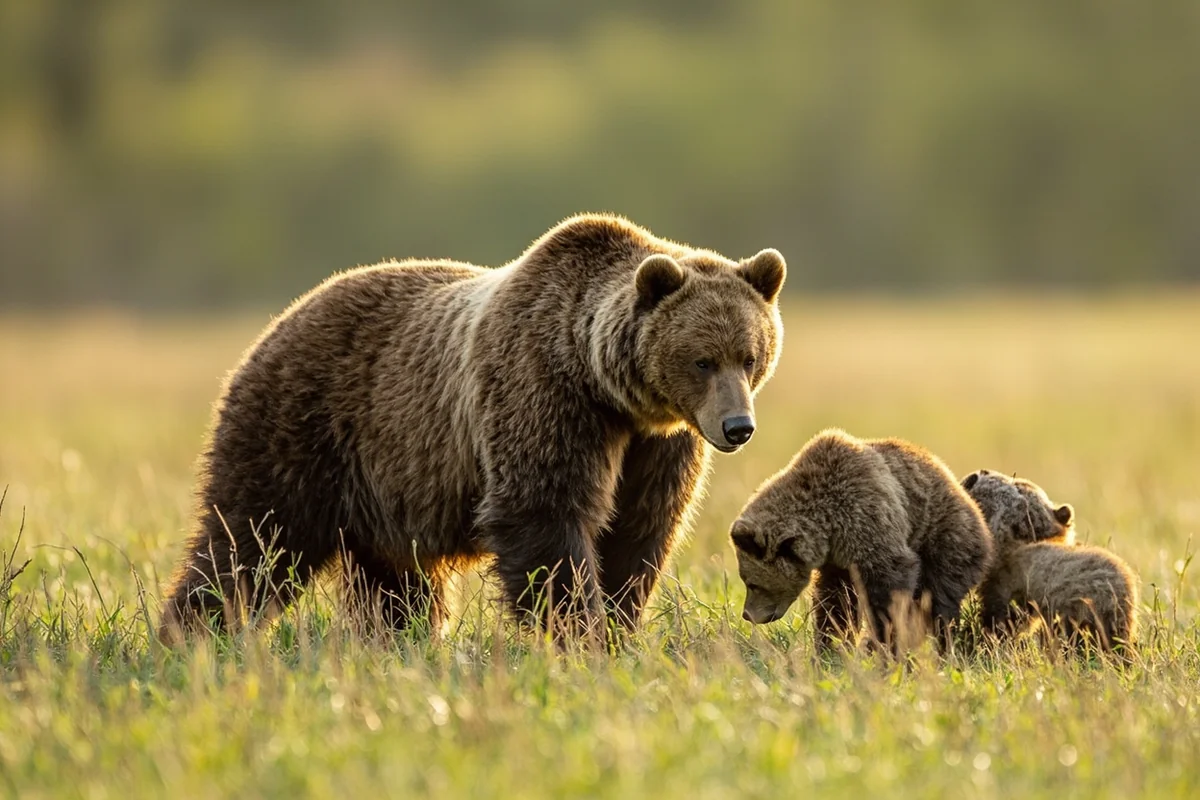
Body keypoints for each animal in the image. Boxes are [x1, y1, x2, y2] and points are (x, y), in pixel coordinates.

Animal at [159, 213, 787, 644]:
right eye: (702, 360)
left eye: (750, 356)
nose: (737, 427)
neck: (608, 389)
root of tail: (276, 323)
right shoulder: (544, 396)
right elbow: (545, 515)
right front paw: (576, 633)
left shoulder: (655, 446)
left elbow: (639, 532)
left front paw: (615, 624)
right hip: (303, 427)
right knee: (253, 540)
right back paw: (192, 636)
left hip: (385, 488)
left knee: (396, 583)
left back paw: (401, 641)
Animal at [730, 428, 992, 652]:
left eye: (752, 583)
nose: (748, 614)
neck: (829, 525)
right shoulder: (837, 560)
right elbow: (836, 601)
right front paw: (830, 641)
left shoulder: (867, 519)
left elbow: (889, 588)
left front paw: (884, 642)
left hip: (944, 536)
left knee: (940, 598)